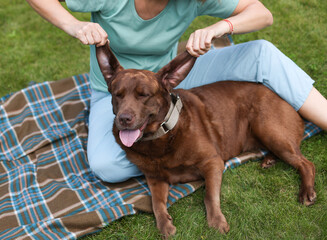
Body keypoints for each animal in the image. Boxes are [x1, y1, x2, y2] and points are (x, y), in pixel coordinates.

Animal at [96, 41, 316, 238]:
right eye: (117, 95)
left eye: (144, 95)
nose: (124, 119)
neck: (162, 137)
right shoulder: (154, 178)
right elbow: (156, 203)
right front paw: (165, 225)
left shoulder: (212, 162)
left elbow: (210, 195)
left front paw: (216, 221)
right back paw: (269, 160)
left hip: (268, 128)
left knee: (306, 163)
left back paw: (306, 191)